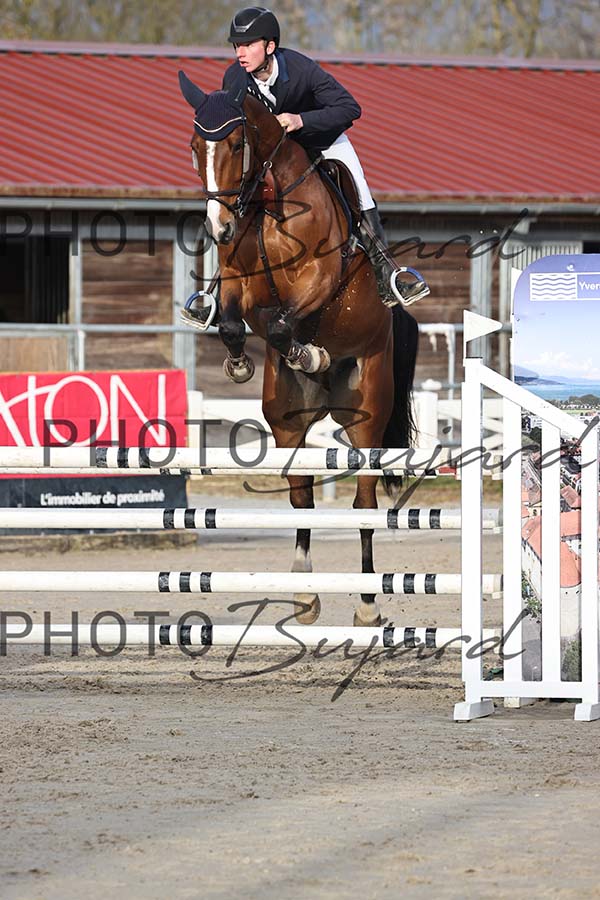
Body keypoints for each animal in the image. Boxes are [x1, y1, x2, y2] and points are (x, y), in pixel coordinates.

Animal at [179, 71, 419, 627]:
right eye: (195, 147)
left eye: (237, 144)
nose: (219, 228)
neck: (268, 198)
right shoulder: (240, 283)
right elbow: (233, 321)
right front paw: (241, 361)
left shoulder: (320, 278)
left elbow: (285, 321)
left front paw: (309, 351)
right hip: (288, 420)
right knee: (301, 496)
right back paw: (305, 595)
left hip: (365, 414)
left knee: (363, 502)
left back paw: (368, 605)